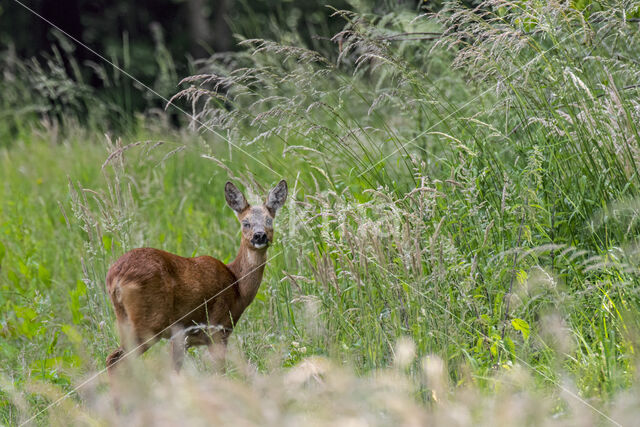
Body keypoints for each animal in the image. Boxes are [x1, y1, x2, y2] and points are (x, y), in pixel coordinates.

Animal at [105, 181, 288, 374]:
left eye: (269, 220)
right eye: (246, 223)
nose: (260, 235)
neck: (237, 285)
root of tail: (114, 278)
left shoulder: (182, 338)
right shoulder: (217, 328)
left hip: (125, 320)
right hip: (149, 321)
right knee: (115, 359)